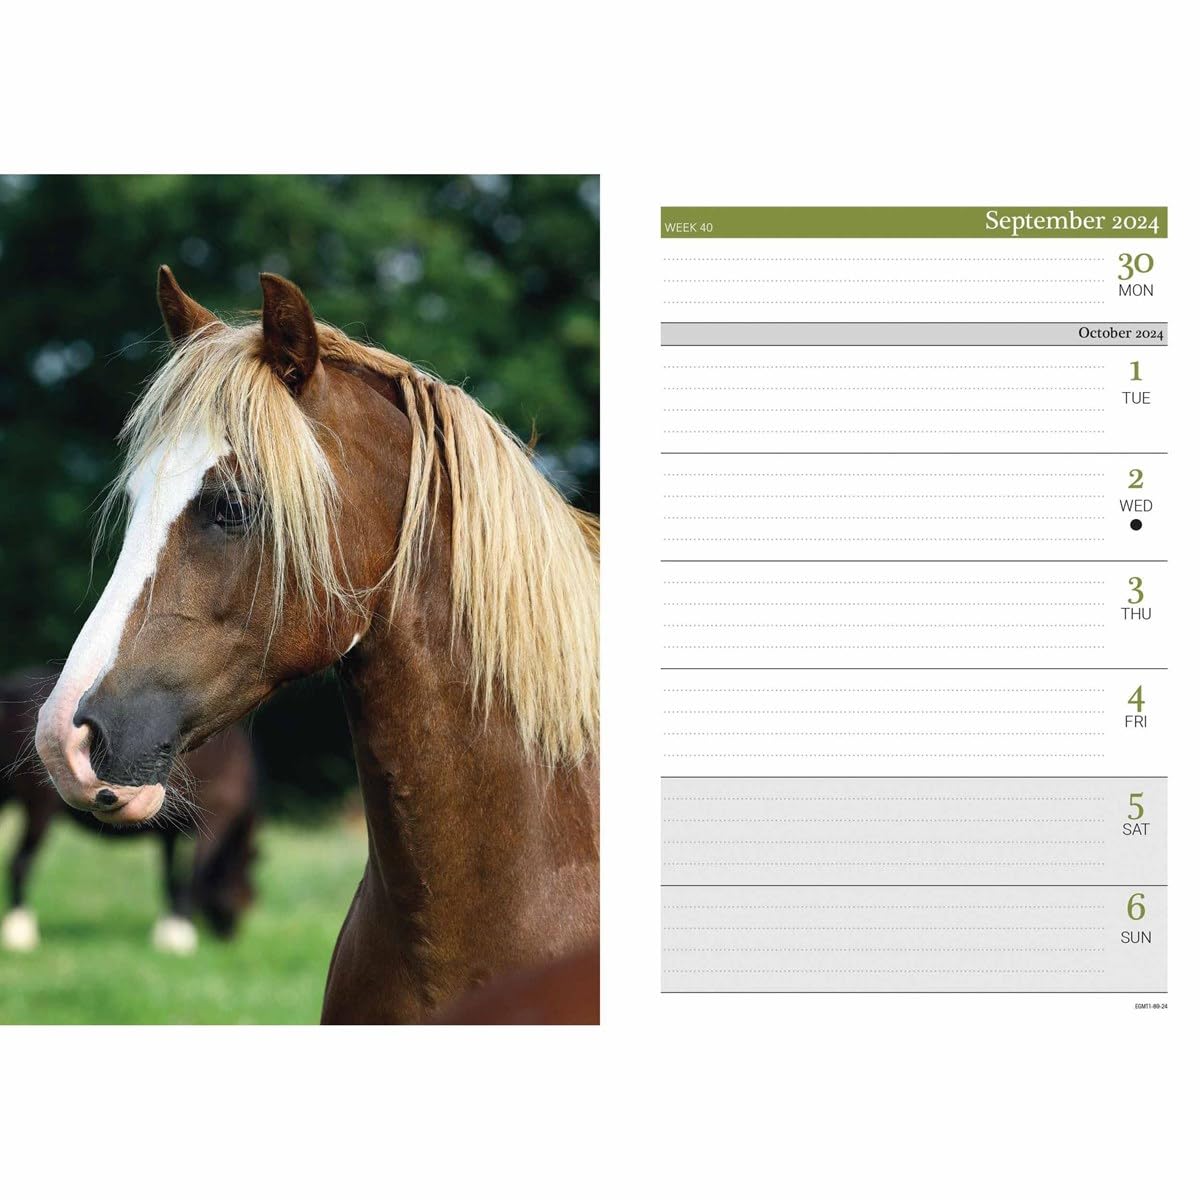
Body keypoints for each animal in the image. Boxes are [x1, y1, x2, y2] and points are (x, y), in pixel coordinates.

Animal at [1, 671, 257, 953]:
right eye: (248, 893)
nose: (231, 937)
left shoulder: (170, 831)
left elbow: (170, 877)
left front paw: (168, 928)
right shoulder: (213, 822)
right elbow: (193, 874)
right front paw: (181, 933)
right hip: (40, 808)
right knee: (21, 862)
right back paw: (20, 931)